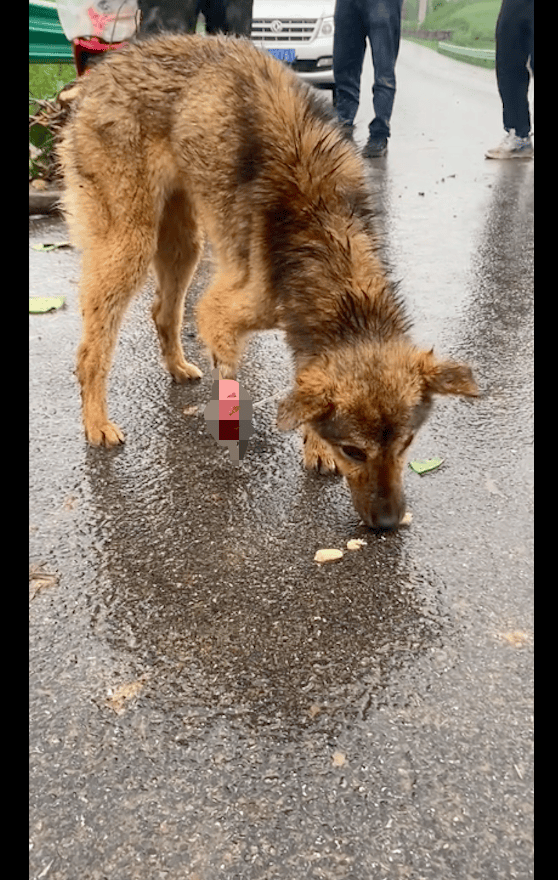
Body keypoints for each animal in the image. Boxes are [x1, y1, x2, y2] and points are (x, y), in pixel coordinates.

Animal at [59, 32, 480, 528]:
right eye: (354, 451)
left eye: (407, 444)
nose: (388, 525)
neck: (327, 239)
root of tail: (102, 70)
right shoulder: (223, 311)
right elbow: (233, 372)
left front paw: (314, 446)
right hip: (130, 242)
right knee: (92, 350)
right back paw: (97, 422)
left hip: (183, 240)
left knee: (162, 310)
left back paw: (177, 367)